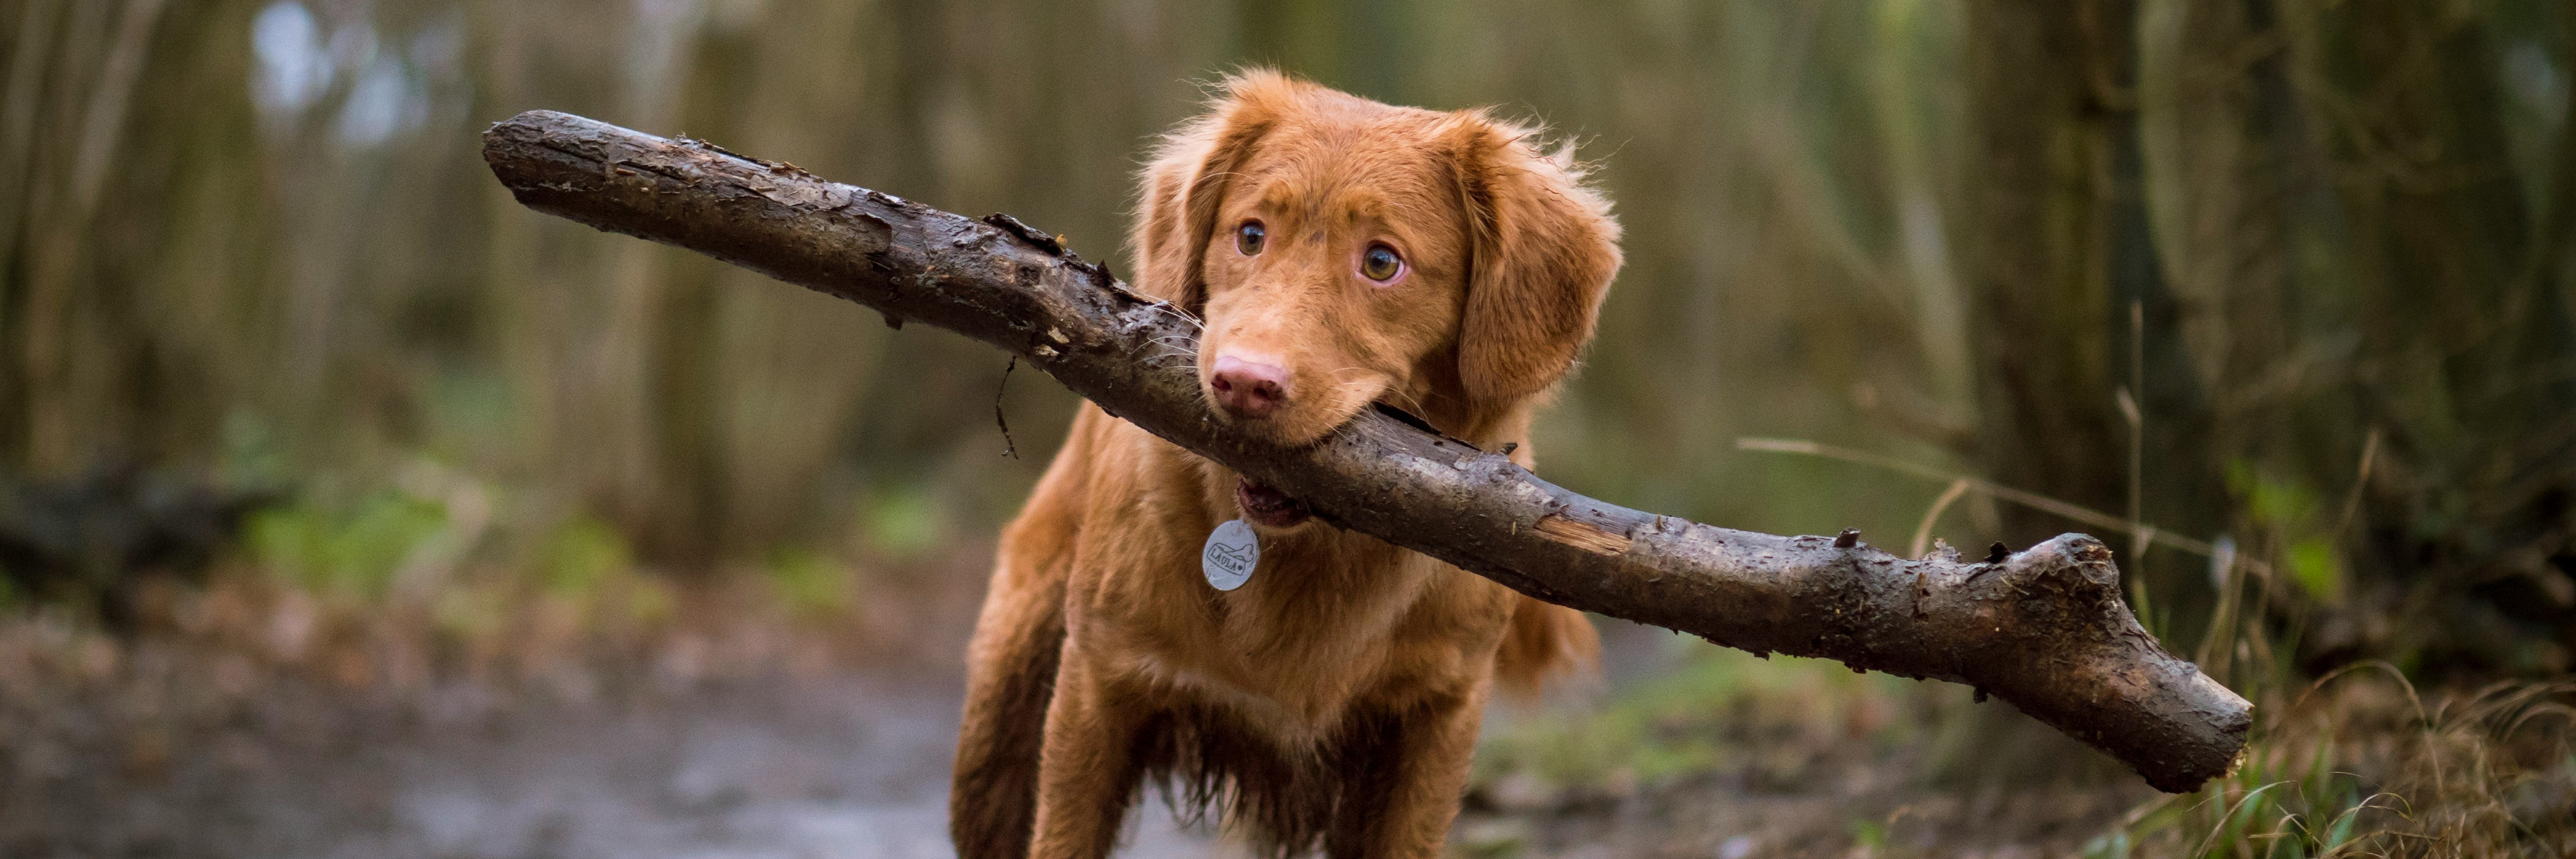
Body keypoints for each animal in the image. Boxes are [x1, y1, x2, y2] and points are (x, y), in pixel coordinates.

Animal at [947, 70, 1628, 851]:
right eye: (1250, 235)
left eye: (1382, 262)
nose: (1243, 383)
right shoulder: (1098, 687)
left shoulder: (1434, 720)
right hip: (1000, 720)